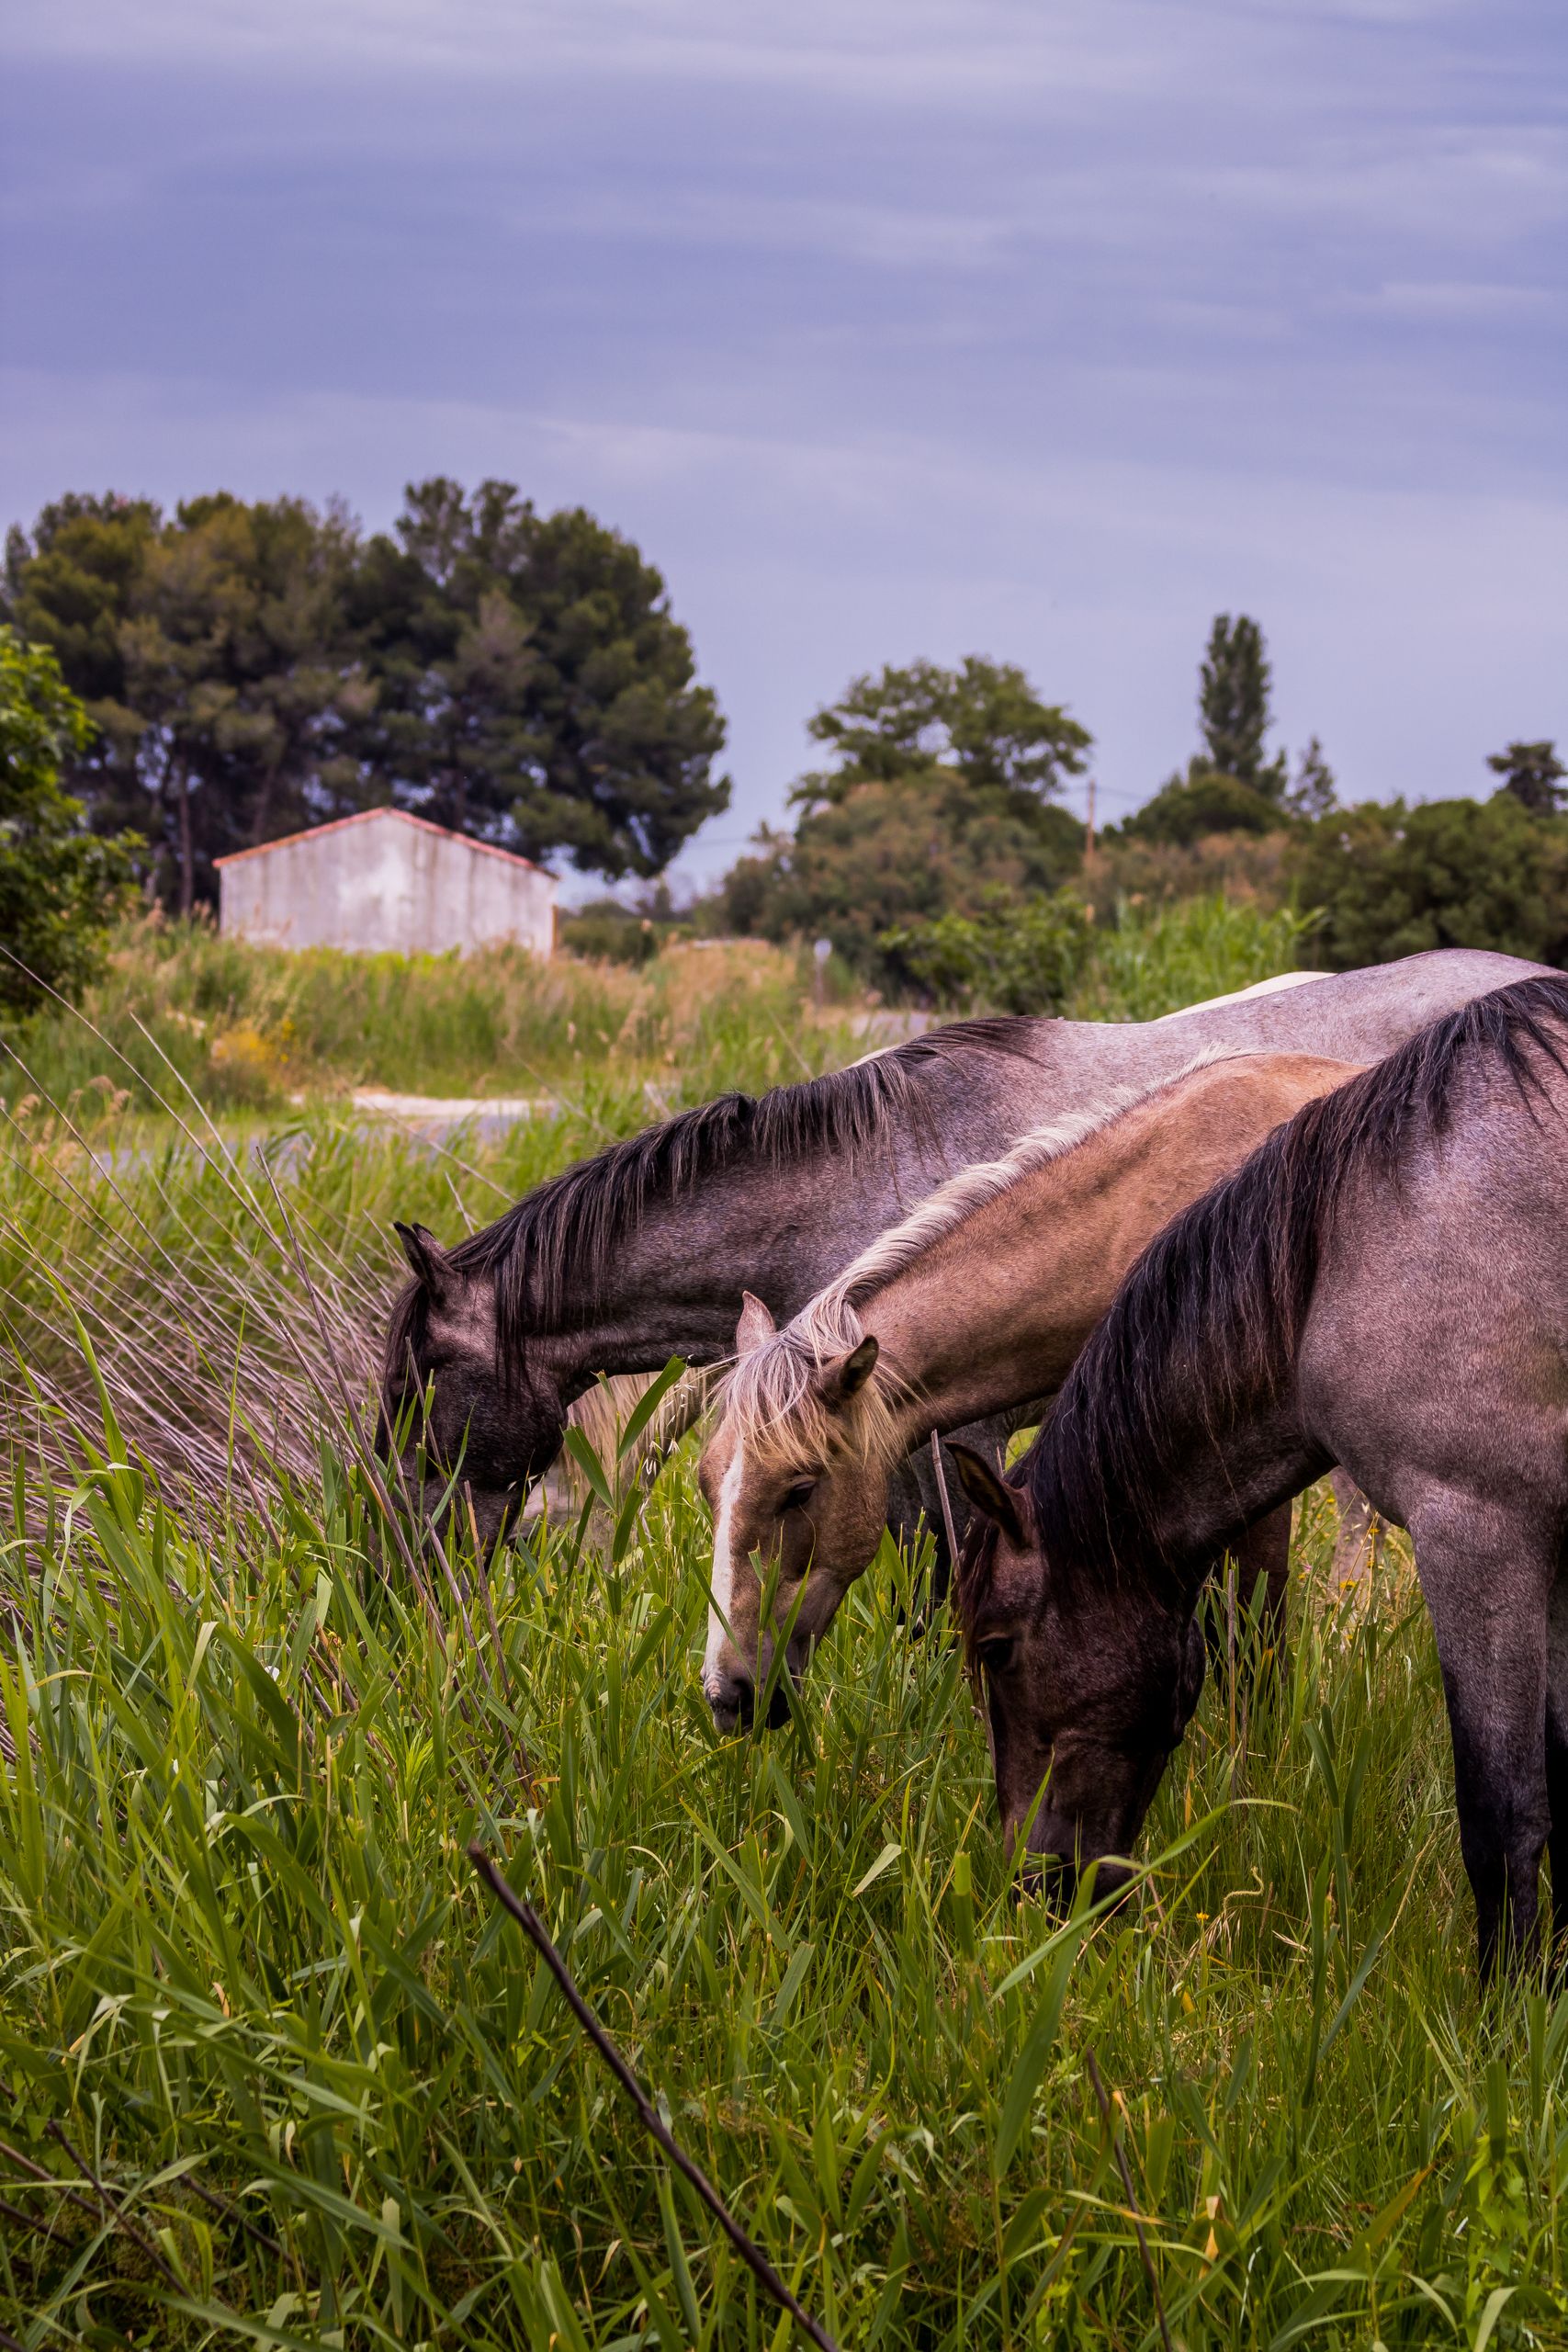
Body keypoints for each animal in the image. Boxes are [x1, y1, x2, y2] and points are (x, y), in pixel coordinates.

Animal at [950, 972, 1568, 1985]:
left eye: (995, 1648)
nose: (1037, 1889)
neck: (1346, 1245)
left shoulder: (1480, 1539)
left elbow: (1505, 1817)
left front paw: (1508, 2010)